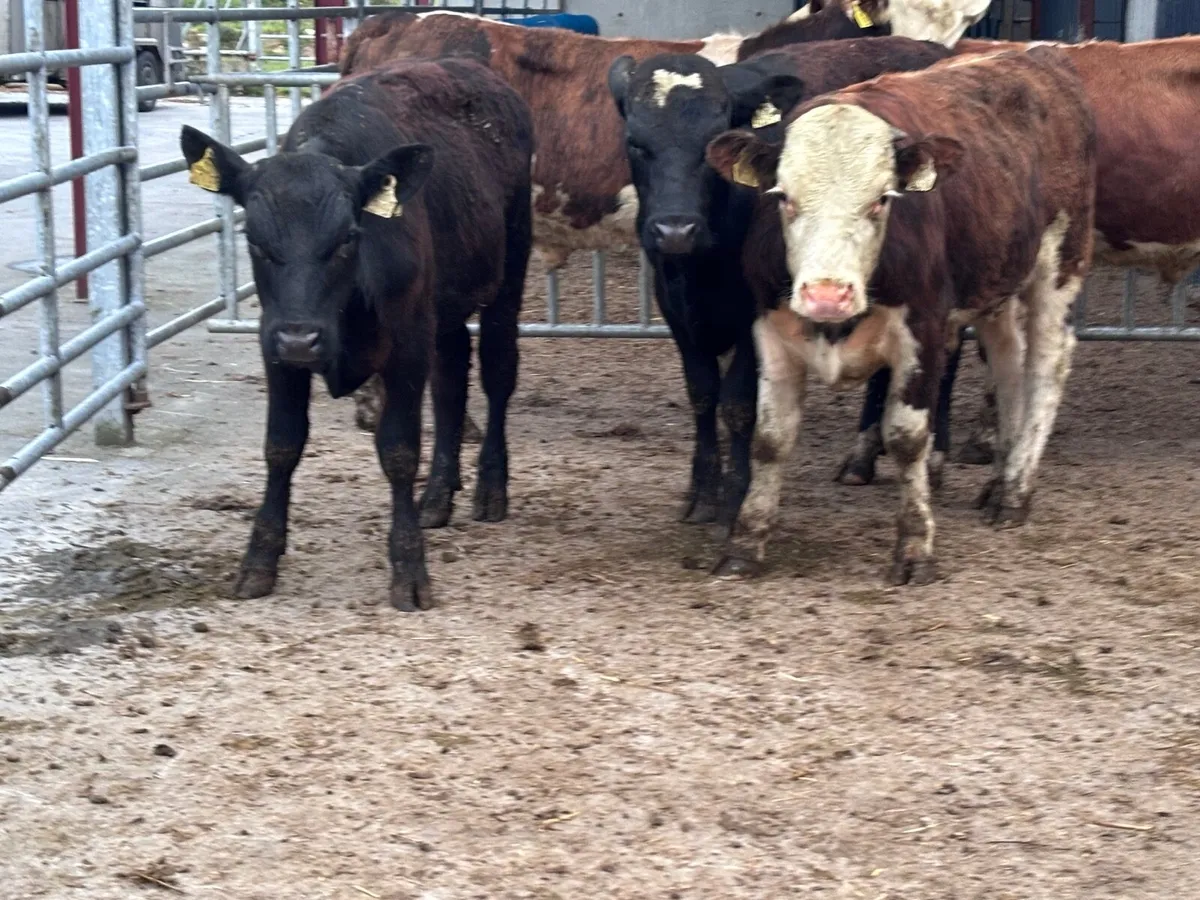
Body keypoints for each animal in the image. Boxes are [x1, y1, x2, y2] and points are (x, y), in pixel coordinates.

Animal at [179, 57, 533, 611]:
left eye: (347, 238)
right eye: (254, 240)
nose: (301, 340)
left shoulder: (407, 344)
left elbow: (399, 451)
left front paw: (409, 569)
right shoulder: (273, 345)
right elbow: (281, 445)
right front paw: (259, 560)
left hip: (510, 264)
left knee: (498, 371)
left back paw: (490, 488)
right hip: (442, 309)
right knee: (451, 382)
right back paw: (437, 496)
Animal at [606, 37, 953, 532]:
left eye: (712, 143)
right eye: (636, 143)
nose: (675, 230)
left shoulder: (759, 314)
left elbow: (739, 405)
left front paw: (735, 497)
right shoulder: (677, 312)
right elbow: (702, 395)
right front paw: (701, 492)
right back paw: (862, 457)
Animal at [705, 47, 1096, 584]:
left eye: (881, 200)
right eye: (783, 197)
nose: (827, 295)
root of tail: (1033, 54)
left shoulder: (923, 332)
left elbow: (908, 438)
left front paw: (915, 548)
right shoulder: (770, 329)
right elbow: (771, 439)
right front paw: (746, 542)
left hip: (1061, 259)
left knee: (1046, 366)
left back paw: (1016, 492)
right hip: (995, 281)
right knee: (1008, 363)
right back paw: (999, 480)